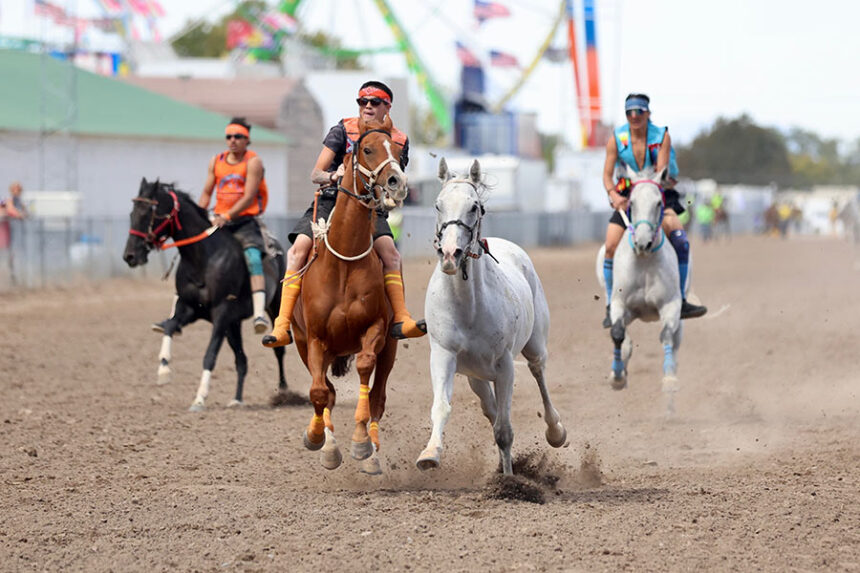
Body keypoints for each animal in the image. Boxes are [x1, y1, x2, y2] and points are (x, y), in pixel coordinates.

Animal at [123, 179, 290, 411]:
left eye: (149, 213)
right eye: (132, 213)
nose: (129, 256)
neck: (203, 259)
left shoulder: (221, 313)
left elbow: (209, 355)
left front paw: (199, 399)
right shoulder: (191, 309)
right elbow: (171, 326)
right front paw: (164, 369)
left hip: (272, 307)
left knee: (278, 348)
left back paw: (283, 391)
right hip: (233, 325)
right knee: (242, 360)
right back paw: (237, 399)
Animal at [290, 115, 408, 474]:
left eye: (397, 149)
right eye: (367, 149)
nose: (397, 182)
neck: (343, 262)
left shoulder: (375, 331)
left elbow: (366, 376)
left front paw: (360, 443)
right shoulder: (314, 339)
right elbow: (319, 392)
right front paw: (321, 442)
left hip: (391, 348)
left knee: (378, 398)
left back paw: (373, 454)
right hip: (305, 343)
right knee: (325, 390)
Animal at [416, 158, 567, 476]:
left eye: (475, 206)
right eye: (437, 205)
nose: (451, 254)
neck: (469, 308)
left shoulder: (504, 365)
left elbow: (504, 429)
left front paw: (509, 479)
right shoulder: (444, 354)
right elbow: (442, 407)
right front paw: (430, 453)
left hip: (534, 346)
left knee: (538, 374)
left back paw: (555, 431)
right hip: (476, 375)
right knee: (490, 408)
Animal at [595, 166, 682, 415]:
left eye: (658, 203)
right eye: (631, 202)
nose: (643, 243)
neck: (644, 261)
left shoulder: (671, 305)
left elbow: (667, 336)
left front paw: (670, 383)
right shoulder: (619, 304)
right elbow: (617, 334)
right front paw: (617, 377)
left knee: (675, 341)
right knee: (624, 340)